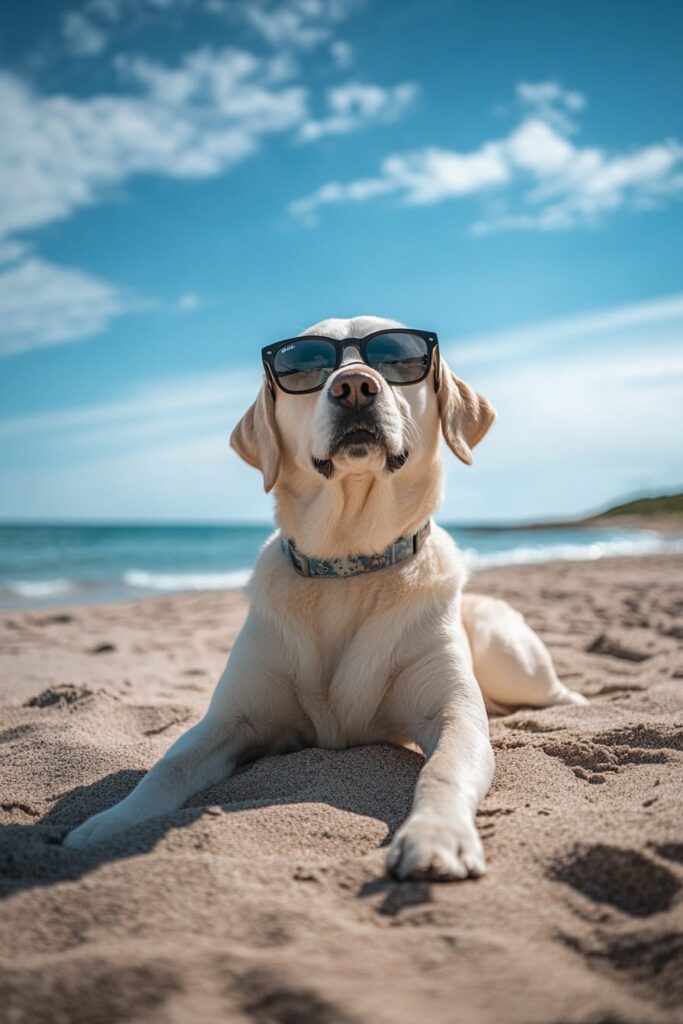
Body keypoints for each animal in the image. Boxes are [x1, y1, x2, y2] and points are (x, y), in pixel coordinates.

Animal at [63, 313, 585, 880]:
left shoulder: (453, 714)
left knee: (556, 693)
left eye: (396, 358)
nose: (354, 386)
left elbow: (444, 769)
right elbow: (168, 766)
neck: (348, 565)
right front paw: (111, 822)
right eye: (304, 367)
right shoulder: (233, 718)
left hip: (509, 655)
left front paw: (435, 836)